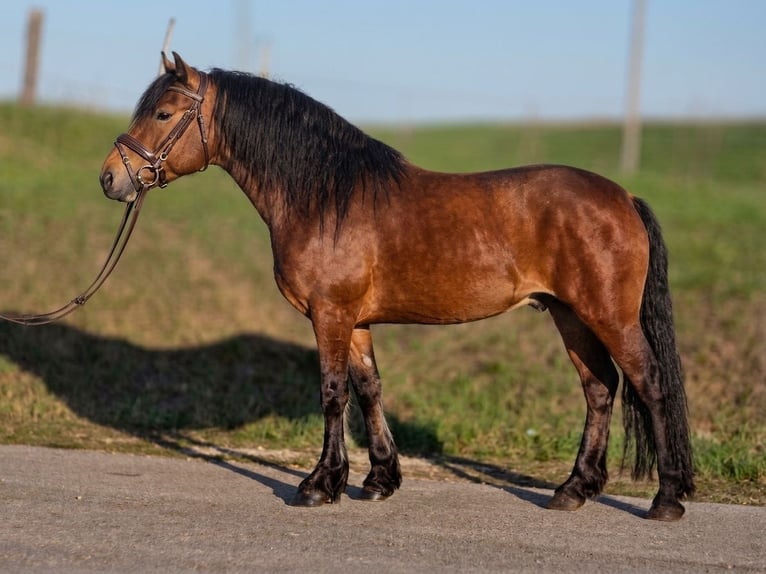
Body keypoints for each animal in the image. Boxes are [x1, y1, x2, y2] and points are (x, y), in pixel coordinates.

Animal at [99, 52, 694, 520]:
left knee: (649, 384)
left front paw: (318, 485)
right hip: (569, 314)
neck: (325, 197)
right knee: (599, 389)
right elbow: (368, 390)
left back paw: (666, 498)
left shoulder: (331, 315)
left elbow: (332, 393)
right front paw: (379, 480)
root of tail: (624, 199)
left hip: (608, 315)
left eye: (163, 113)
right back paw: (574, 489)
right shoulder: (356, 321)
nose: (110, 177)